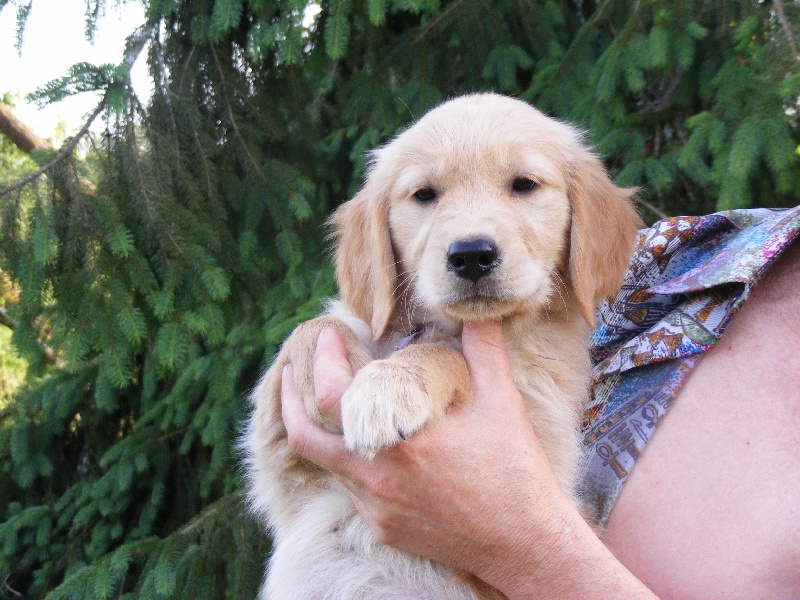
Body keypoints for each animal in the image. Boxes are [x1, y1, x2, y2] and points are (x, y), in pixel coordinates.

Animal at [243, 93, 641, 599]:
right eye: (425, 195)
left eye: (524, 185)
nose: (471, 255)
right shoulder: (284, 477)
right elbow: (314, 332)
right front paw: (324, 374)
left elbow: (449, 356)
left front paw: (387, 386)